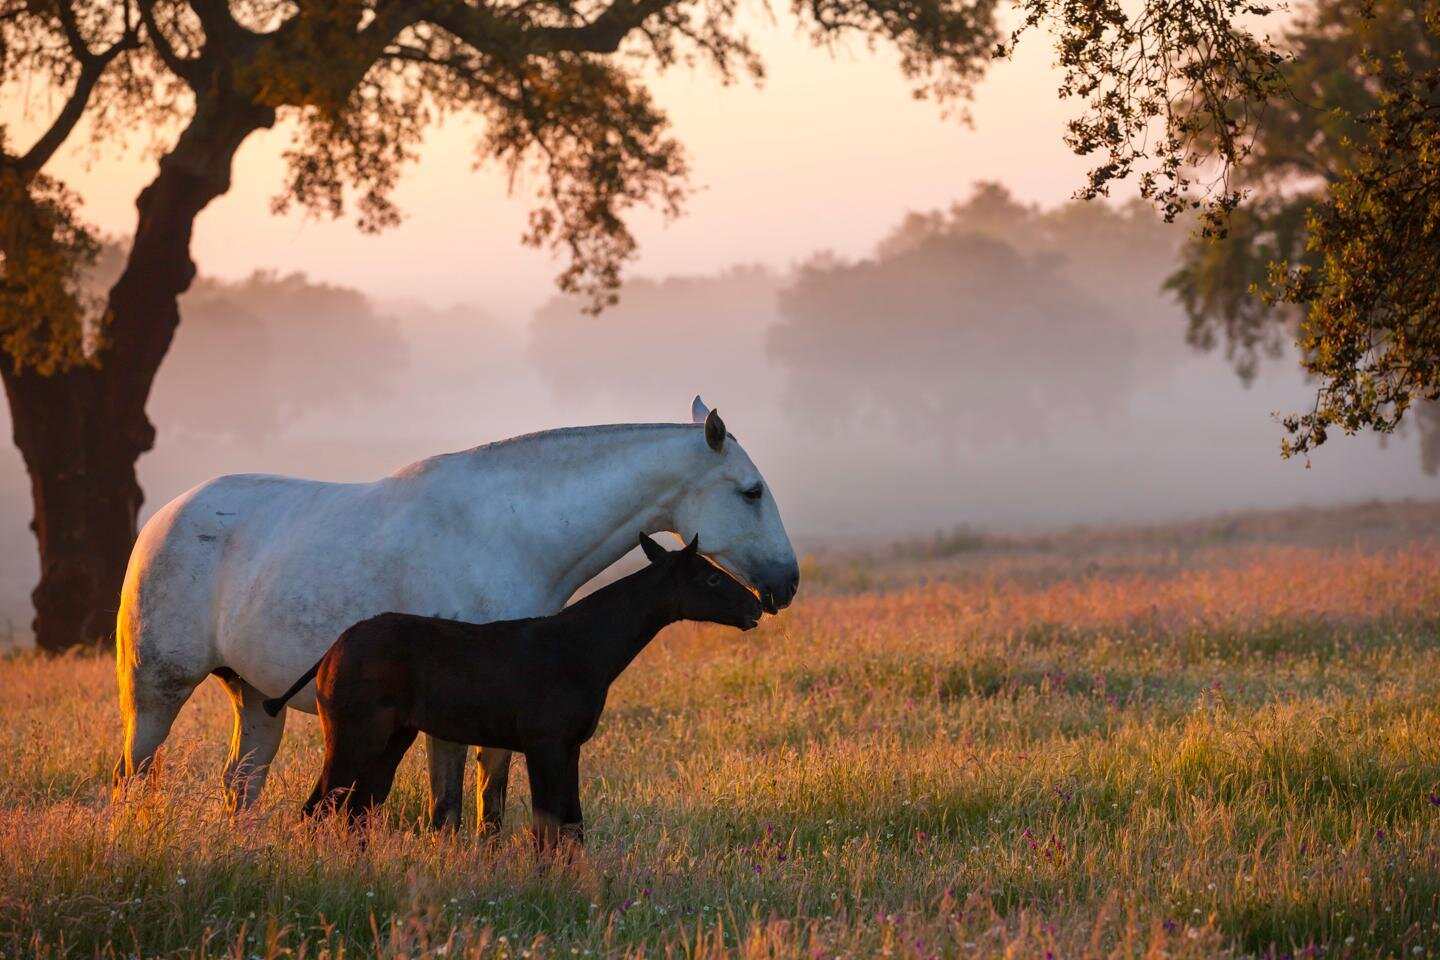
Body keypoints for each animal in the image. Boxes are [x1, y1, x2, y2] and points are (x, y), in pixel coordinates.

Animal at [269, 532, 766, 846]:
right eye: (712, 577)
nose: (756, 606)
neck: (586, 647)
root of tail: (331, 651)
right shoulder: (543, 744)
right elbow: (547, 830)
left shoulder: (569, 748)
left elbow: (573, 827)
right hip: (353, 737)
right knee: (318, 809)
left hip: (392, 739)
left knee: (355, 812)